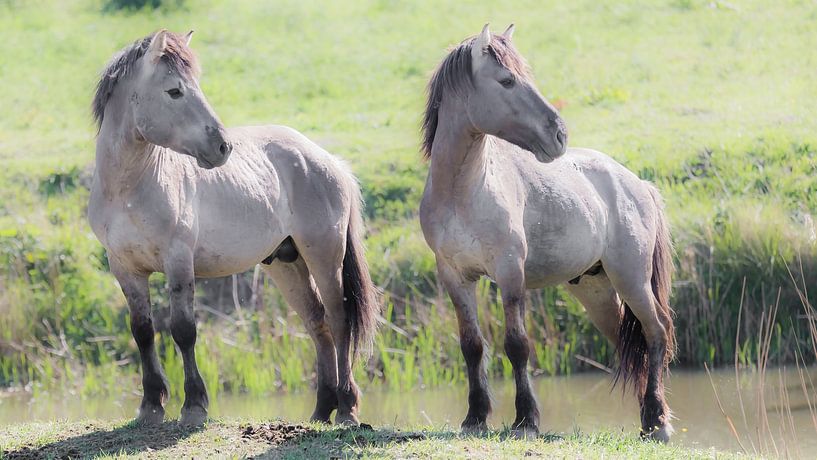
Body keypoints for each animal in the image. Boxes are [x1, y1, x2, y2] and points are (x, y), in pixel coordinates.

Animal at [88, 30, 379, 427]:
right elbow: (143, 332)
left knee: (339, 320)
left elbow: (183, 330)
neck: (129, 190)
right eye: (174, 91)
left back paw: (347, 408)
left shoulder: (178, 262)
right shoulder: (124, 268)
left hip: (324, 257)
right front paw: (151, 405)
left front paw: (194, 405)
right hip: (288, 265)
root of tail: (326, 159)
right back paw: (321, 409)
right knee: (316, 324)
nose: (223, 146)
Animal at [419, 24, 676, 442]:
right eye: (507, 80)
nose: (559, 135)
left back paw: (657, 420)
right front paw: (475, 417)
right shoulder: (455, 276)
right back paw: (648, 417)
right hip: (597, 291)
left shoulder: (510, 272)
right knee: (632, 341)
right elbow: (472, 346)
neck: (463, 191)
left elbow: (517, 345)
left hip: (632, 280)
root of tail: (639, 185)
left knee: (656, 332)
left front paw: (526, 419)